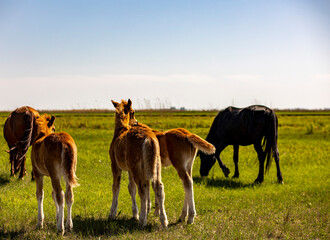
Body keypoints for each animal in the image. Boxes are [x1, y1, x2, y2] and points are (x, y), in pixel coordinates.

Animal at [109, 99, 168, 227]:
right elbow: (131, 188)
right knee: (158, 186)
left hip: (137, 167)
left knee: (143, 188)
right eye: (133, 112)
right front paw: (135, 213)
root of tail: (149, 140)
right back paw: (163, 221)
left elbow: (116, 187)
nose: (136, 122)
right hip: (155, 165)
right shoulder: (130, 169)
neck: (120, 130)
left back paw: (142, 221)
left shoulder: (115, 165)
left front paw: (112, 213)